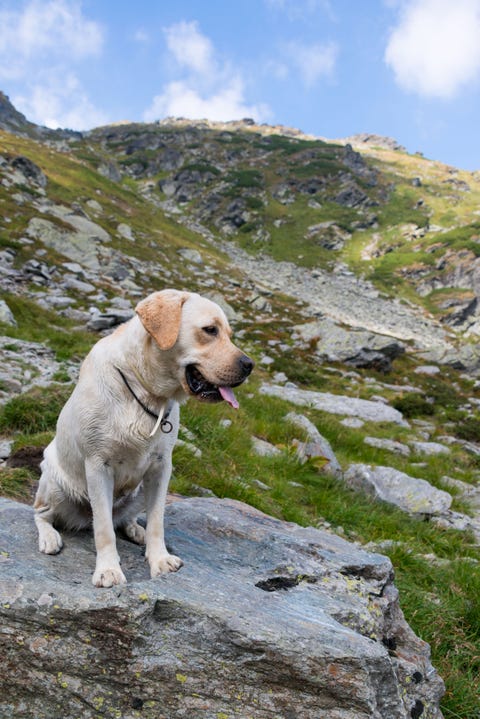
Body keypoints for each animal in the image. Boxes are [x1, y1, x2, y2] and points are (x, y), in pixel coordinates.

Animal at [32, 290, 255, 588]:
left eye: (229, 334)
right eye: (210, 330)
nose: (249, 365)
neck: (145, 390)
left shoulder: (161, 468)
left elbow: (157, 520)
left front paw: (159, 559)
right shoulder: (97, 465)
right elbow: (103, 528)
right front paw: (108, 570)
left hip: (137, 490)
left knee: (124, 518)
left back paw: (135, 529)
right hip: (55, 484)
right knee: (41, 513)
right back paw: (49, 537)